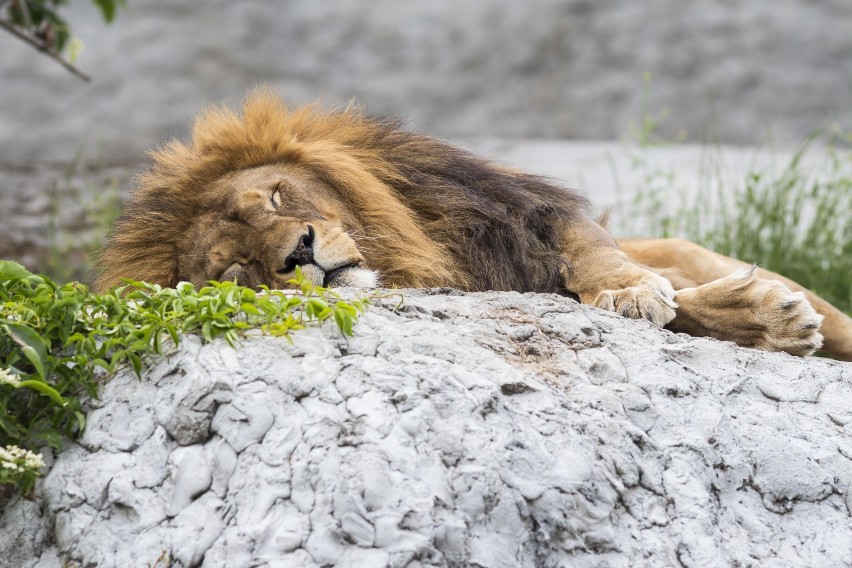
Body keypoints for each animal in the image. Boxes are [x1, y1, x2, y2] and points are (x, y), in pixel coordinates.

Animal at [95, 91, 852, 362]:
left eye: (276, 200)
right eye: (239, 270)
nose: (300, 253)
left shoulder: (528, 218)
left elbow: (597, 259)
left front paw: (631, 288)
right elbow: (681, 312)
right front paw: (762, 320)